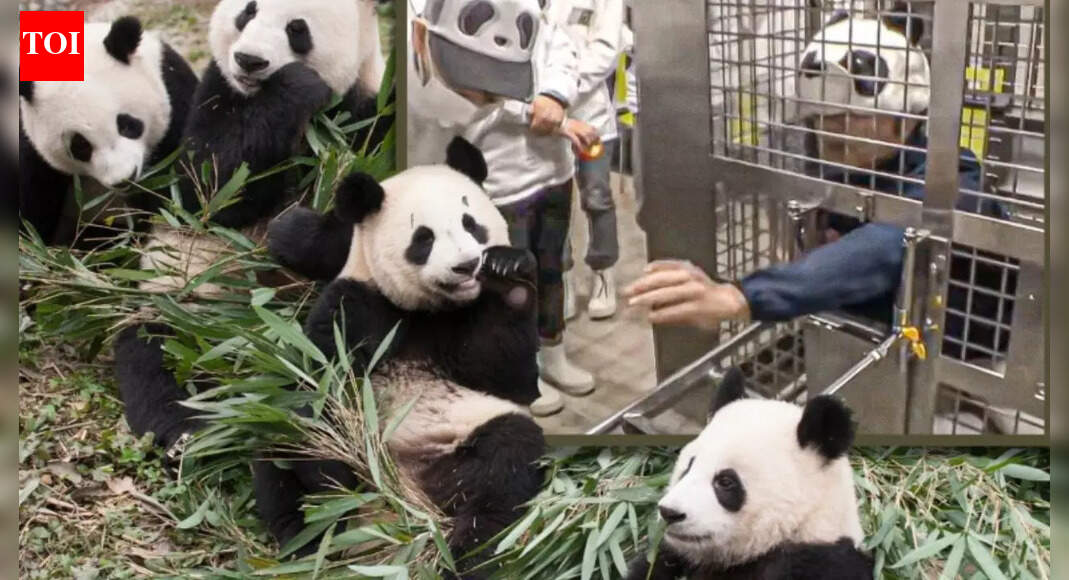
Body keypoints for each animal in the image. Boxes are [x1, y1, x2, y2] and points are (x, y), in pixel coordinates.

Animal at [259, 137, 544, 576]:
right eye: (424, 238)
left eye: (470, 223)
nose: (466, 266)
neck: (429, 311)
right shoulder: (358, 302)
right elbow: (320, 384)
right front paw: (334, 470)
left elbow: (511, 376)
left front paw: (507, 273)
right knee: (276, 447)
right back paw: (309, 535)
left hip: (463, 440)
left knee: (505, 462)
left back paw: (464, 552)